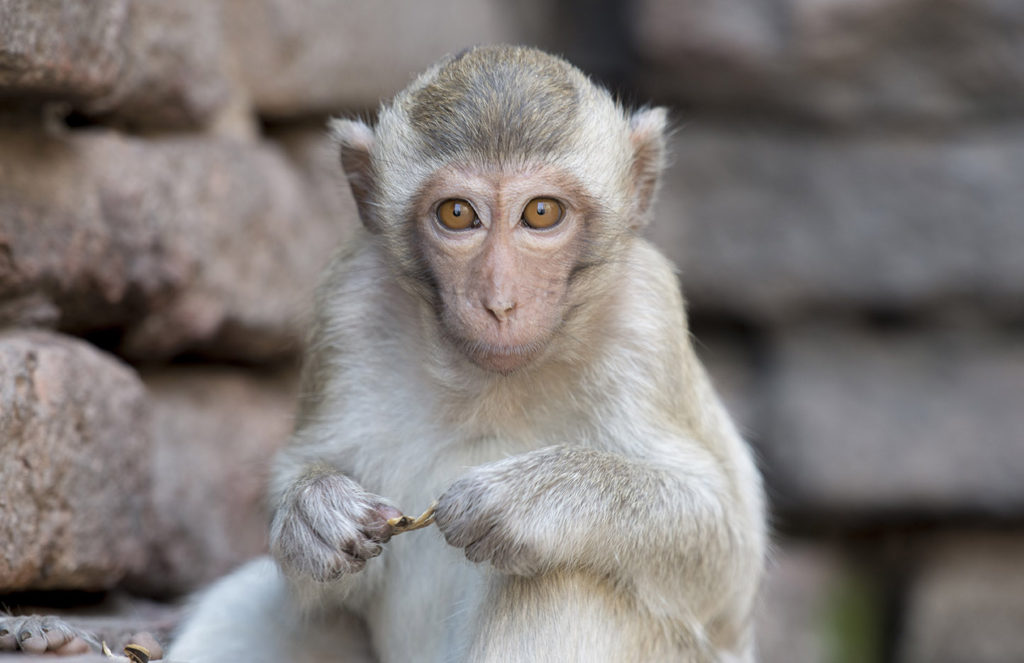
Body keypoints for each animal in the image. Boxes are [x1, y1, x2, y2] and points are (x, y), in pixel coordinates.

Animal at [2, 44, 770, 659]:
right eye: (458, 214)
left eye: (542, 213)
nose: (499, 301)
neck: (491, 380)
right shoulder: (349, 300)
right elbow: (311, 496)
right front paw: (315, 514)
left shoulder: (646, 317)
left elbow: (724, 544)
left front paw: (536, 499)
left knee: (562, 579)